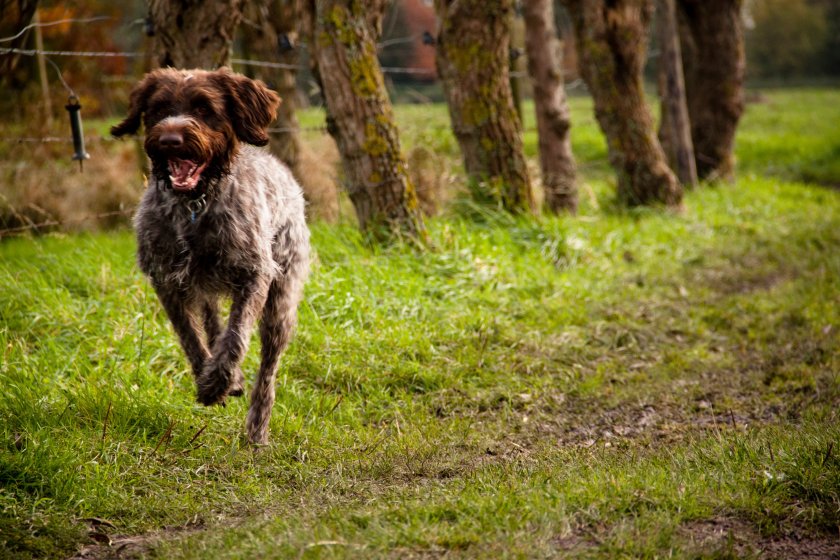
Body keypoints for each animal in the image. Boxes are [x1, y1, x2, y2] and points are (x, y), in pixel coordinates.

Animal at [110, 68, 308, 444]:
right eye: (158, 108)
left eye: (204, 108)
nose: (170, 139)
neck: (193, 205)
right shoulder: (166, 280)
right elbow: (190, 336)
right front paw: (213, 376)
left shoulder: (254, 275)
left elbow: (236, 338)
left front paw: (217, 383)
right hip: (203, 286)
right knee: (213, 322)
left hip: (280, 302)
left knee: (268, 368)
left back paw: (257, 428)